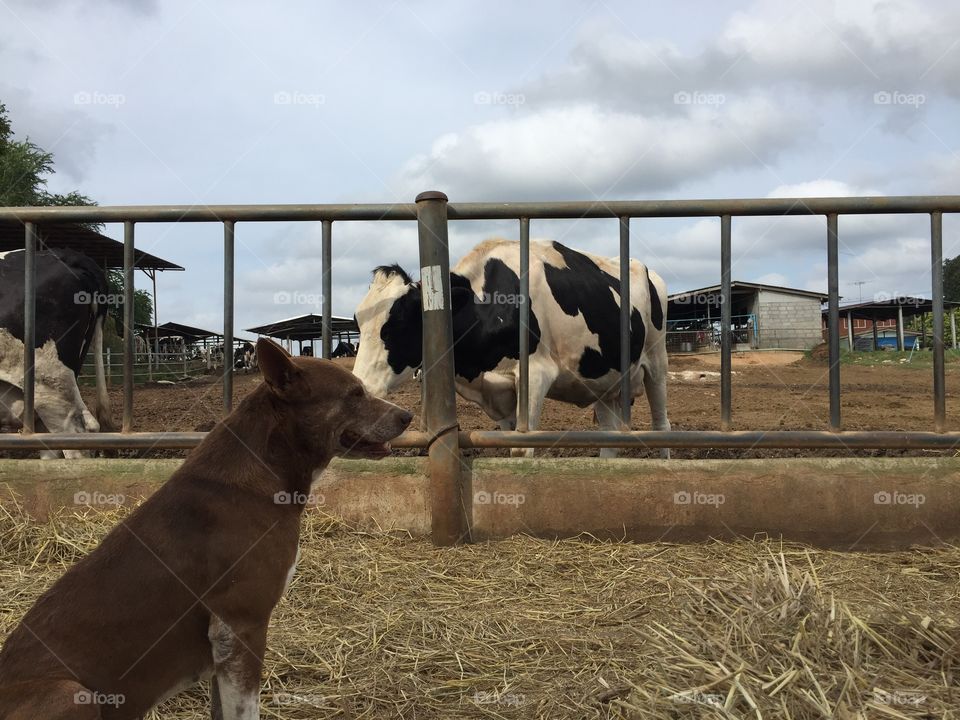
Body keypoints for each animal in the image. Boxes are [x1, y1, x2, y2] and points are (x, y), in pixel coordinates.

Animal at [0, 338, 408, 720]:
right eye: (354, 394)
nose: (406, 415)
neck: (264, 468)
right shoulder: (241, 626)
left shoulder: (223, 647)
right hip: (71, 693)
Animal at [350, 239, 668, 458]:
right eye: (358, 323)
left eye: (395, 325)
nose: (362, 386)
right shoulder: (499, 391)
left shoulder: (536, 374)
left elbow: (521, 447)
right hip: (604, 381)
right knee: (609, 436)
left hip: (656, 362)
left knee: (661, 426)